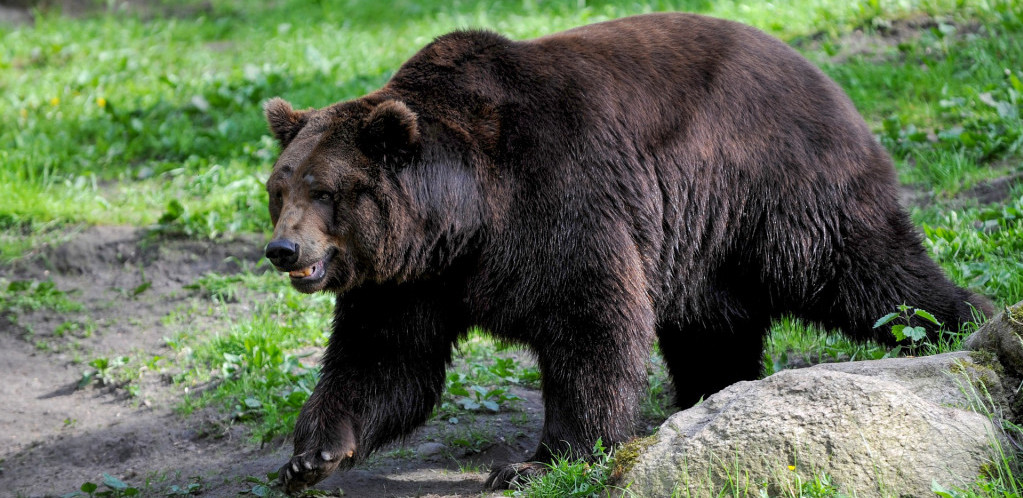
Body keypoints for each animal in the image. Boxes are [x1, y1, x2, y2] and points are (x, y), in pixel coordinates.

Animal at [263, 12, 990, 494]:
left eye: (325, 189)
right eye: (279, 187)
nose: (282, 249)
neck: (463, 218)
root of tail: (825, 78)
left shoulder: (557, 200)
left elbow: (590, 324)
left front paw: (535, 460)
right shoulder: (410, 279)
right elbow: (385, 360)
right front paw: (310, 456)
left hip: (778, 190)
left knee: (868, 274)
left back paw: (960, 326)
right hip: (704, 243)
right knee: (712, 327)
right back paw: (707, 398)